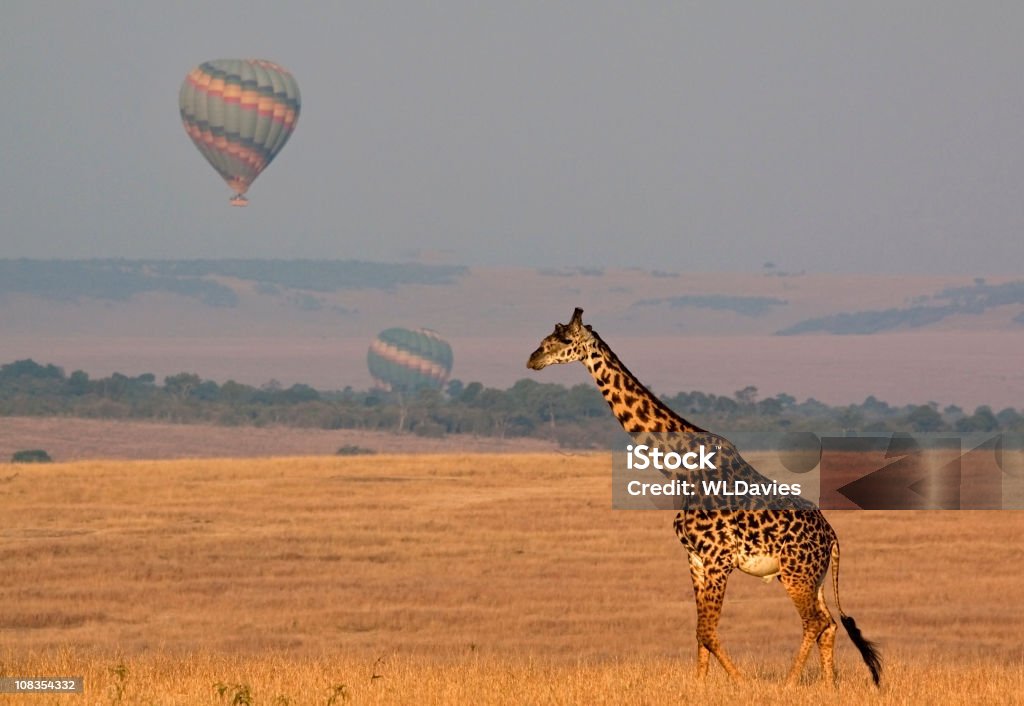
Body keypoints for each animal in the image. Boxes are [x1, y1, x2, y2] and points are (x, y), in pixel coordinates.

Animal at [528, 307, 880, 684]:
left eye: (563, 339)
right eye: (546, 337)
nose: (533, 359)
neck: (681, 468)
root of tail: (832, 537)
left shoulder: (717, 558)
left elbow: (708, 632)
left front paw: (742, 684)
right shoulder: (695, 558)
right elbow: (699, 633)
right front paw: (700, 685)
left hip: (796, 574)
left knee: (815, 622)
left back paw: (788, 685)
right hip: (814, 577)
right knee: (829, 624)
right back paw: (829, 686)